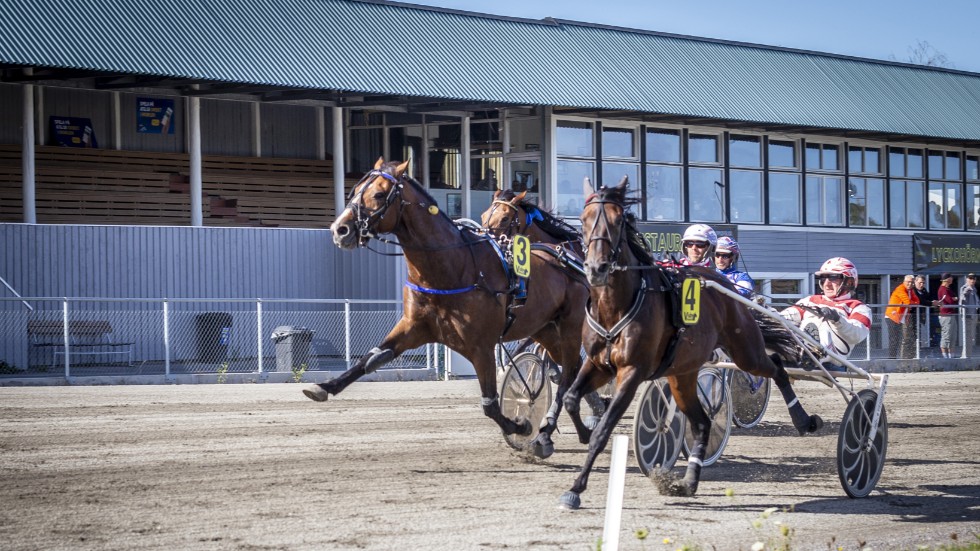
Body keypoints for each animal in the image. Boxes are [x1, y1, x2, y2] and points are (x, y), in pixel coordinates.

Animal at [302, 157, 588, 442]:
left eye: (379, 194)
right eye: (353, 192)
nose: (339, 229)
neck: (453, 267)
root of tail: (569, 259)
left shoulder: (482, 346)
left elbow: (490, 405)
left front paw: (520, 425)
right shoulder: (413, 327)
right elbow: (372, 358)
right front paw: (324, 386)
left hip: (571, 326)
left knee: (568, 375)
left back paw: (549, 430)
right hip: (546, 330)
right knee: (572, 370)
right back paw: (581, 427)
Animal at [556, 179, 824, 512]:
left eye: (618, 221)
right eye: (584, 219)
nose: (596, 268)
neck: (615, 307)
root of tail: (725, 286)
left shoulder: (631, 373)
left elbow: (604, 430)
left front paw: (575, 488)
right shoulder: (597, 364)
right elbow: (570, 398)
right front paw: (582, 432)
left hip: (744, 349)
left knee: (775, 366)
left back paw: (803, 419)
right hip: (682, 374)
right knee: (701, 423)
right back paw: (688, 481)